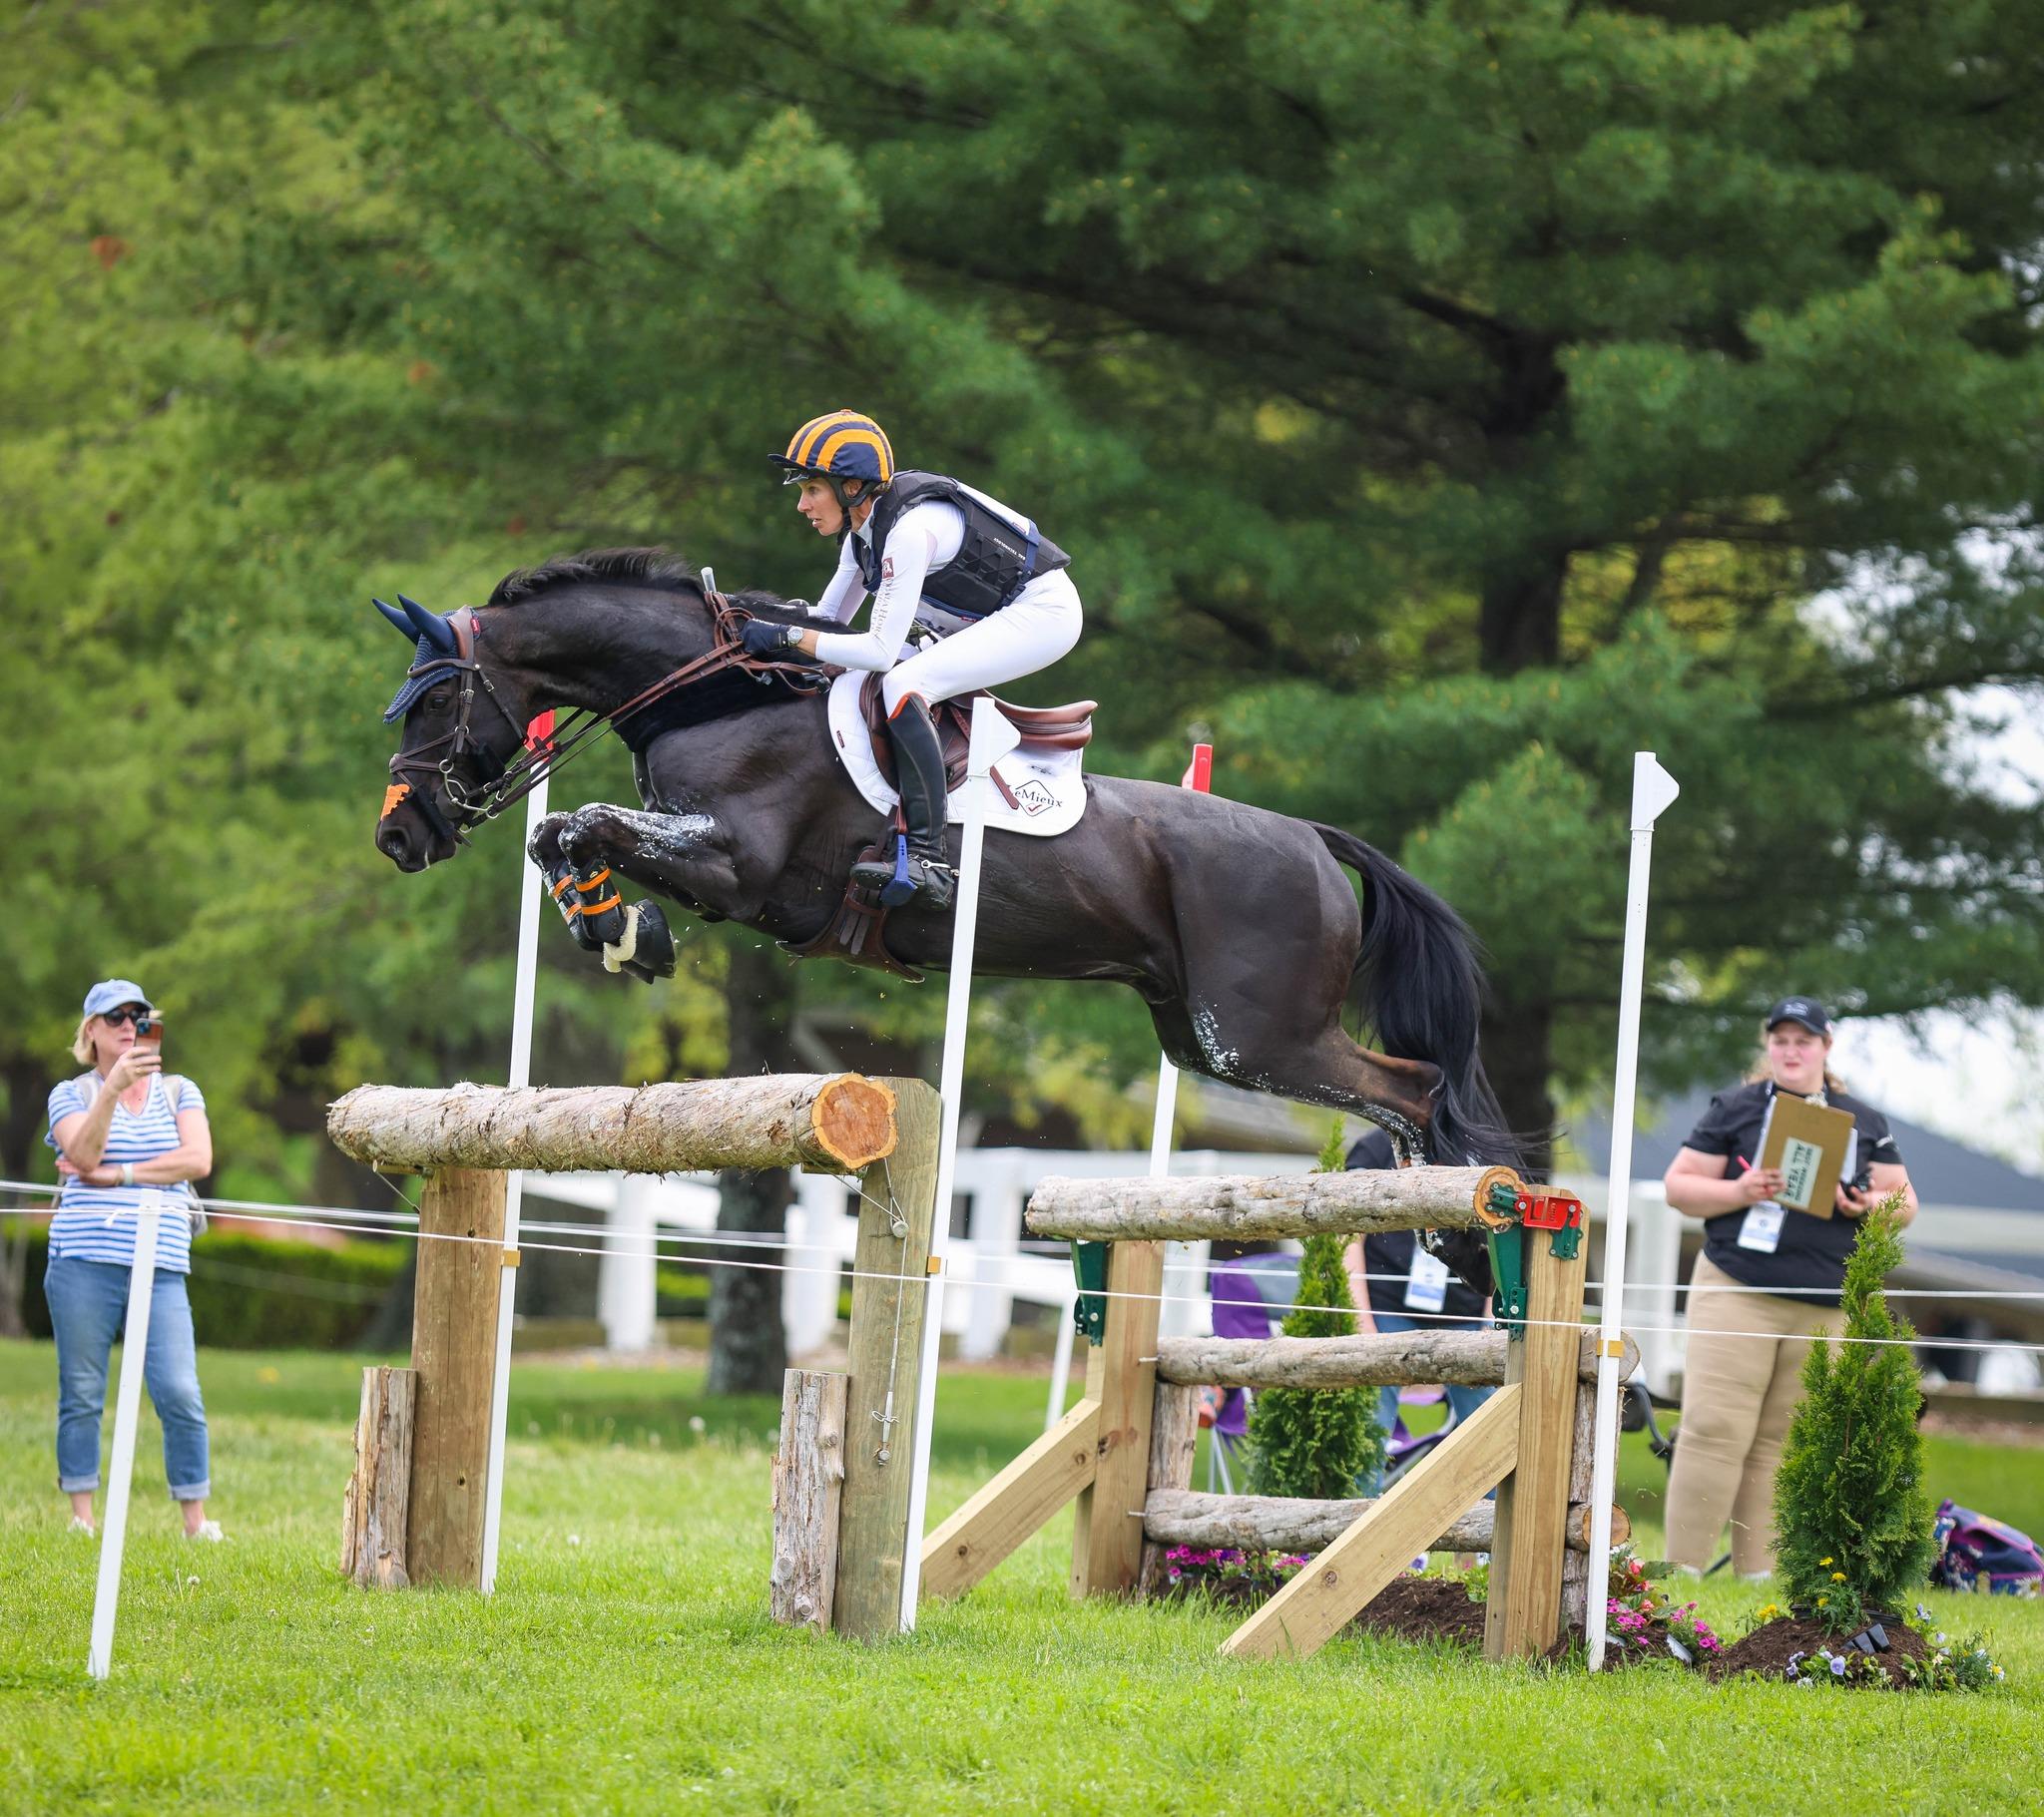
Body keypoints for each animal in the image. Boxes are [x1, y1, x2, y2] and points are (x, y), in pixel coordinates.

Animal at [375, 547, 1512, 1160]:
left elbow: (587, 822)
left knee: (1413, 1090)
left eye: (431, 701)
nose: (398, 834)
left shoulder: (739, 869)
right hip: (1198, 1034)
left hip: (1256, 1036)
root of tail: (1314, 839)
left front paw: (623, 931)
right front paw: (618, 929)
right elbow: (559, 831)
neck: (718, 692)